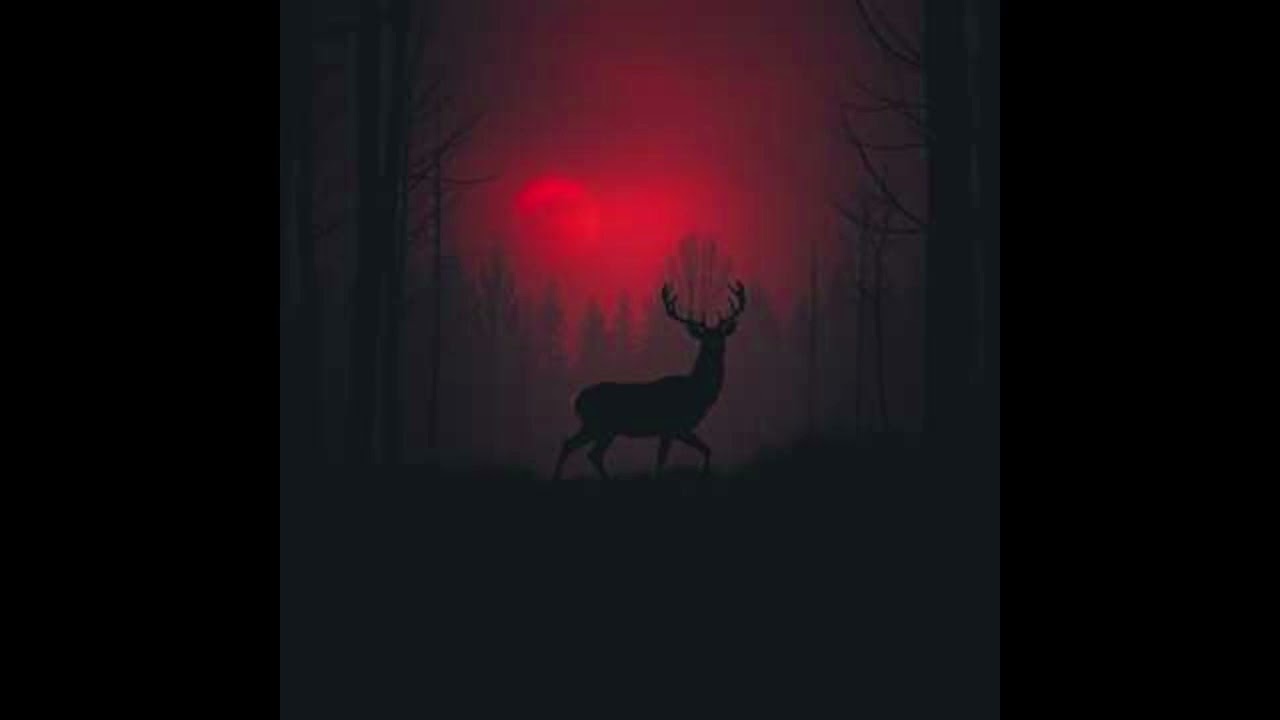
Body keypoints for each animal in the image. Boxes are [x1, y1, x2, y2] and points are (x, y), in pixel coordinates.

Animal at [552, 281, 747, 483]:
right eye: (704, 338)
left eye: (721, 336)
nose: (715, 347)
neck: (696, 392)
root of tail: (576, 399)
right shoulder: (672, 426)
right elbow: (663, 459)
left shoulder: (678, 429)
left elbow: (706, 449)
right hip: (600, 425)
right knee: (587, 451)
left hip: (598, 427)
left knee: (577, 447)